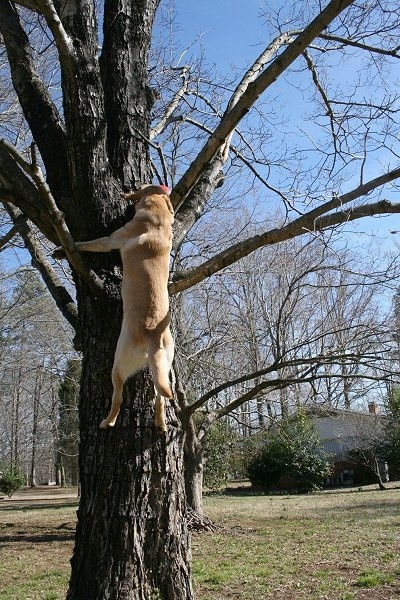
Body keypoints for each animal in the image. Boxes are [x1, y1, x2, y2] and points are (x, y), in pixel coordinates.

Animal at [74, 183, 173, 432]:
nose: (127, 191)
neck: (159, 220)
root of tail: (152, 334)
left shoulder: (111, 240)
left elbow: (91, 243)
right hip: (164, 366)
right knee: (160, 397)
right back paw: (160, 423)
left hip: (118, 363)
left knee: (117, 397)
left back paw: (107, 422)